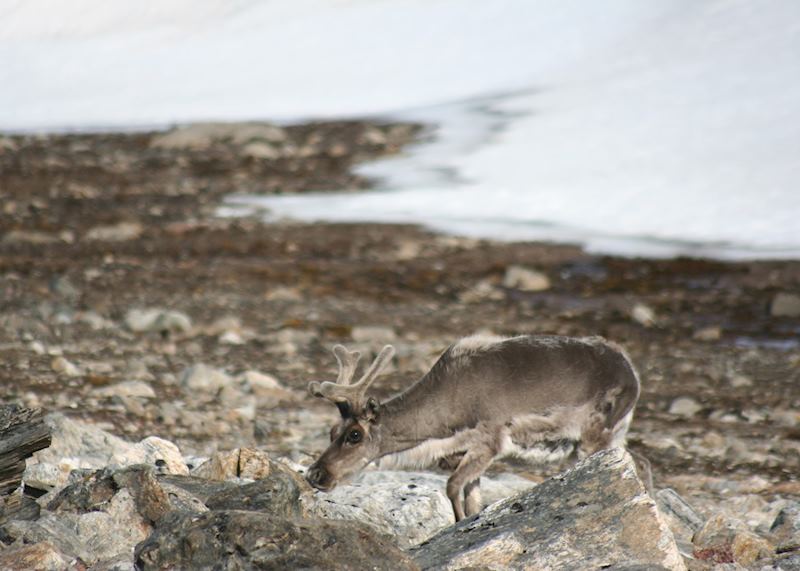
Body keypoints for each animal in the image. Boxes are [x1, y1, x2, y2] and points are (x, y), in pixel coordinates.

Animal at [305, 334, 648, 522]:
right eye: (331, 432)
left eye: (355, 435)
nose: (315, 474)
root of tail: (632, 371)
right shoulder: (468, 453)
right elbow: (472, 500)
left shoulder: (489, 442)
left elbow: (451, 487)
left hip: (596, 434)